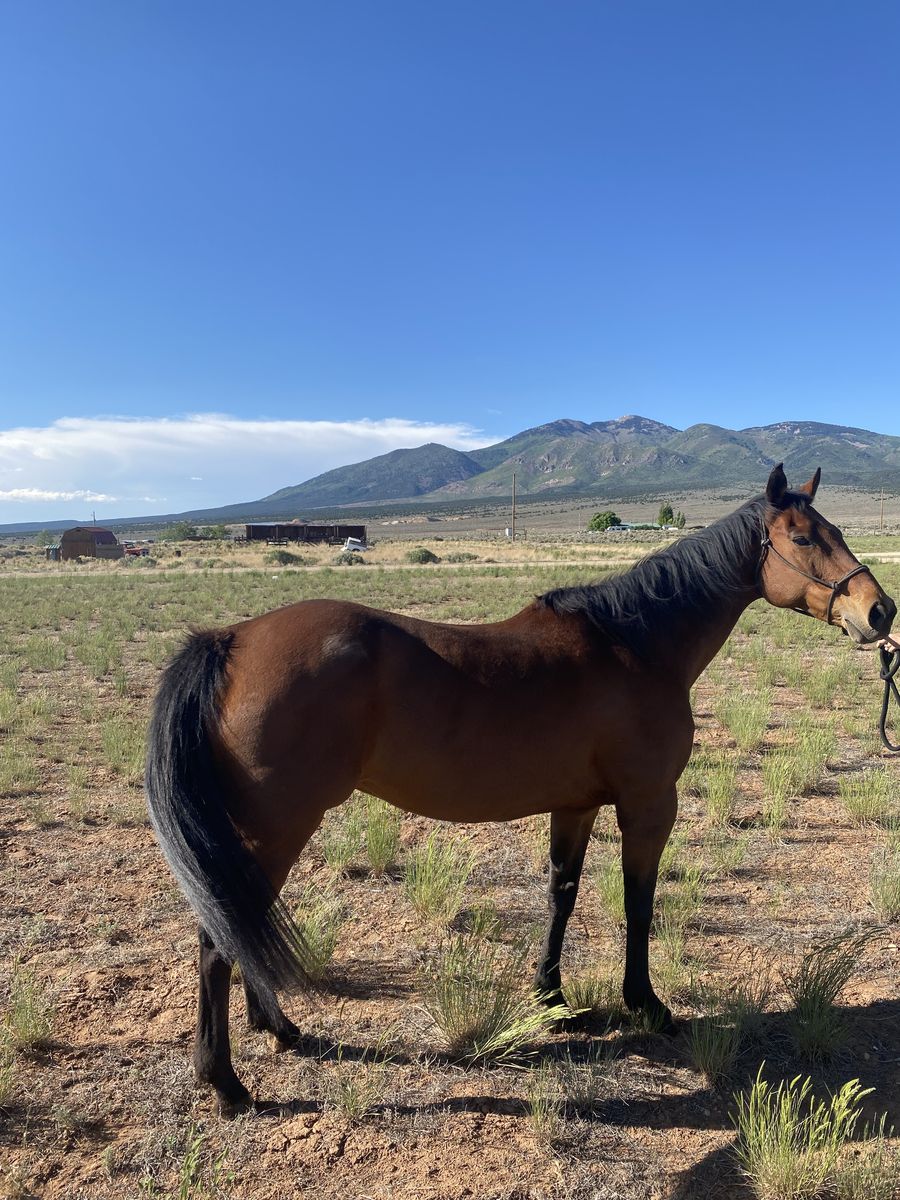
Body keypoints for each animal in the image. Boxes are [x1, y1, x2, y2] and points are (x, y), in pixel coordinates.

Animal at [145, 465, 895, 1113]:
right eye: (803, 538)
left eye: (834, 528)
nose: (880, 612)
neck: (636, 645)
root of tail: (231, 641)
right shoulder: (648, 805)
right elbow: (639, 904)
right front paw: (646, 1004)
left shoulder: (577, 805)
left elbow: (561, 894)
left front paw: (551, 998)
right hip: (276, 827)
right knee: (218, 941)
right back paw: (226, 1082)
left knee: (236, 929)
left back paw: (278, 1028)